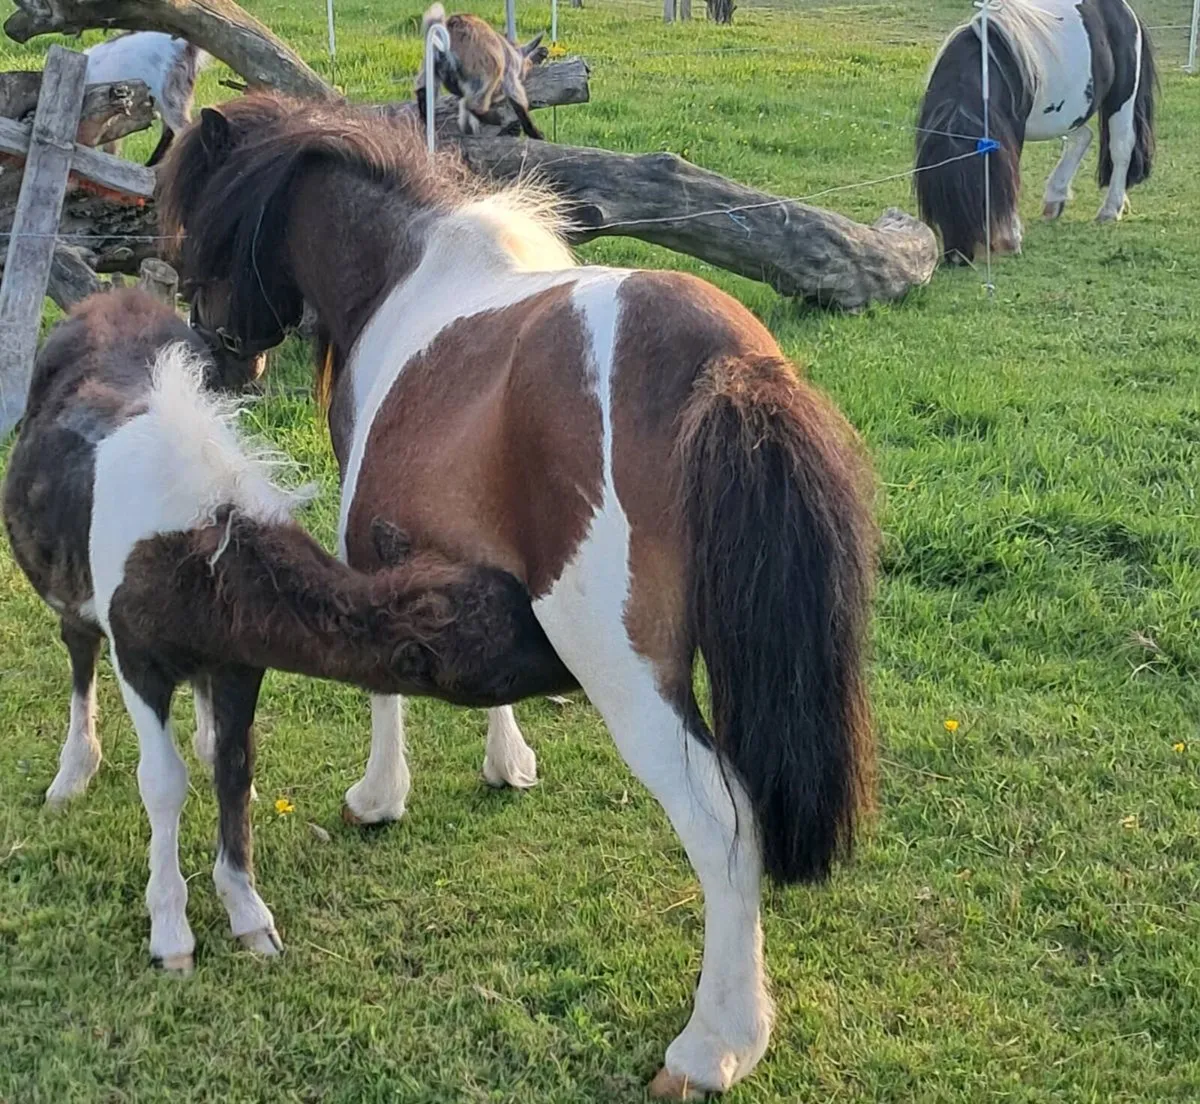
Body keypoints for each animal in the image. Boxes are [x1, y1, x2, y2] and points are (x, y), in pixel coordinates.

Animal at [2, 288, 574, 972]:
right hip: (66, 584)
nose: (574, 664)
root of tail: (109, 297)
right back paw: (72, 773)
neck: (200, 553)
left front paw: (248, 914)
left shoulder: (241, 659)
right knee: (79, 648)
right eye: (511, 641)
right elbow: (162, 782)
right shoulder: (138, 655)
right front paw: (170, 933)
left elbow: (235, 766)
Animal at [157, 93, 877, 1097]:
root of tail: (724, 365)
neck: (403, 279)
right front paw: (507, 763)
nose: (217, 359)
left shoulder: (367, 551)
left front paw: (379, 797)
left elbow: (380, 679)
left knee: (723, 820)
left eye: (200, 226)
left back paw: (712, 1045)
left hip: (629, 675)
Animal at [915, 0, 1157, 264]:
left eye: (979, 195)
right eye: (937, 199)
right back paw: (1056, 198)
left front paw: (1010, 238)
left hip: (1121, 97)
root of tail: (1126, 11)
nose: (958, 259)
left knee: (1121, 148)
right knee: (1082, 137)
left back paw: (1110, 209)